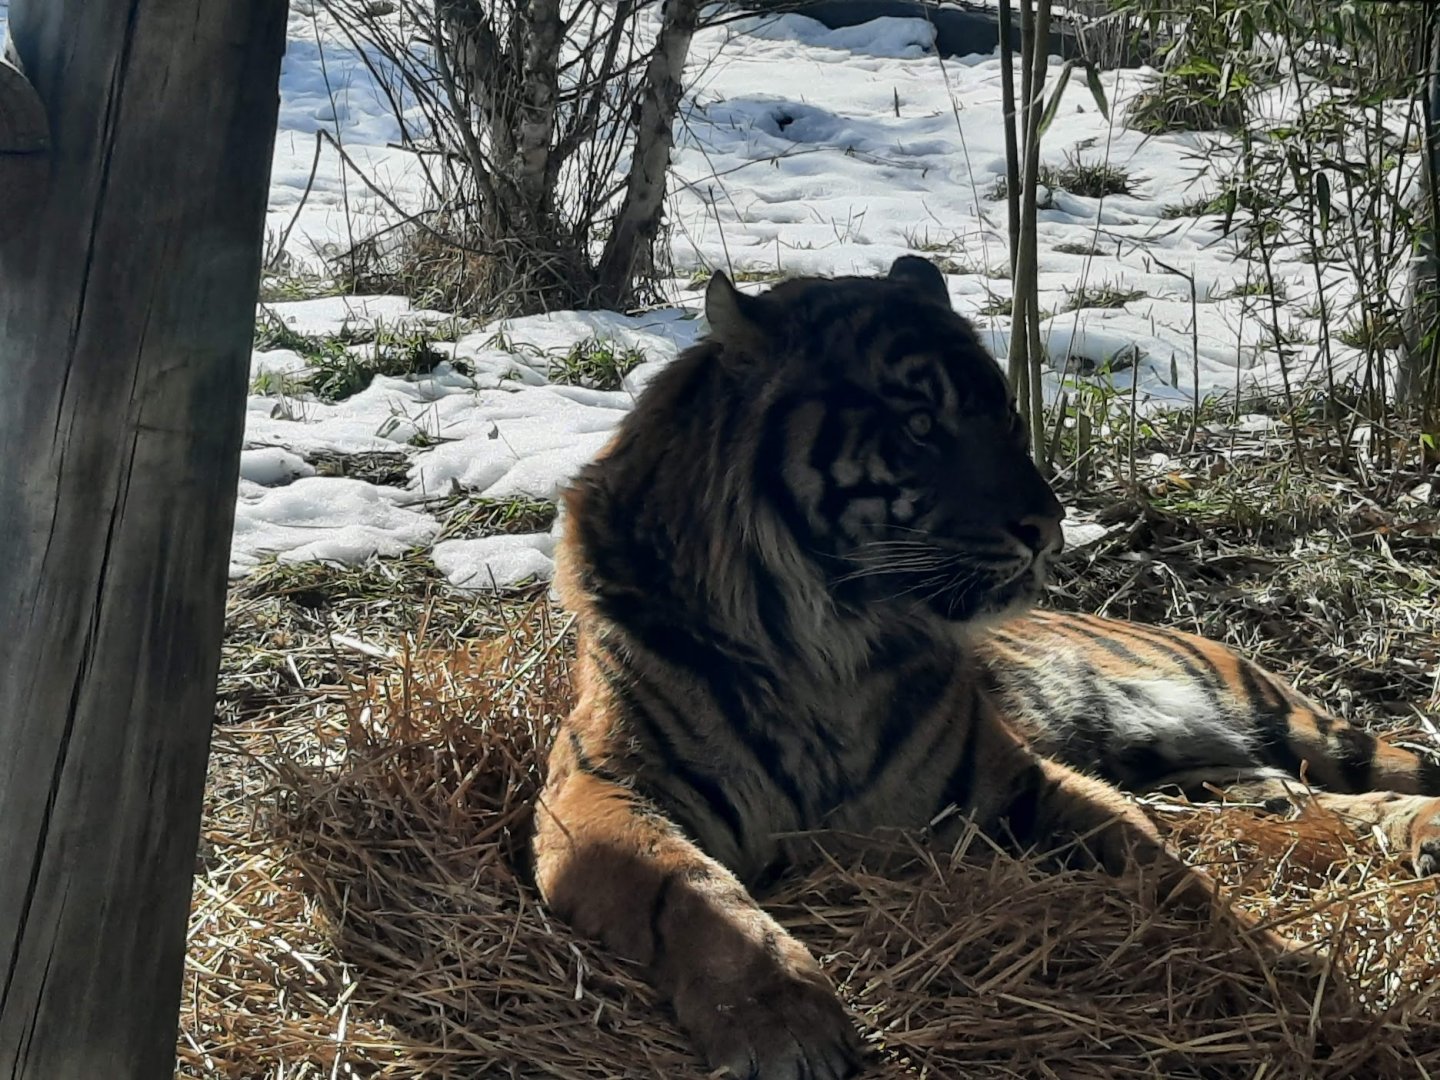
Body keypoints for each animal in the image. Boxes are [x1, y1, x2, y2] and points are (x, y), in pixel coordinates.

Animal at [531, 255, 1440, 1080]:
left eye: (1005, 414)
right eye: (920, 425)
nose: (1050, 525)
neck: (827, 649)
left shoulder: (1020, 782)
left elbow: (1158, 864)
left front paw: (1252, 957)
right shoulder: (597, 792)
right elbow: (693, 892)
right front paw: (783, 1025)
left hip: (1282, 720)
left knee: (1378, 771)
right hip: (1209, 766)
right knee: (1304, 802)